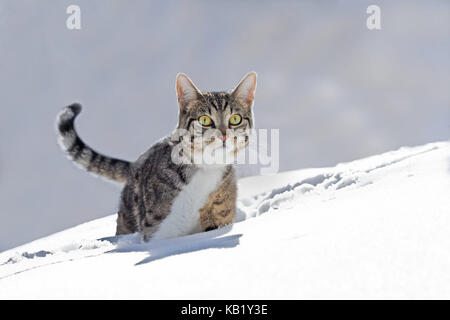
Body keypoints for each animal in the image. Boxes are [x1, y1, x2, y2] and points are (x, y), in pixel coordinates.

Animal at [56, 72, 256, 241]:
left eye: (235, 119)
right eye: (205, 120)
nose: (224, 134)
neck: (205, 170)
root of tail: (135, 164)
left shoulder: (220, 216)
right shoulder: (157, 229)